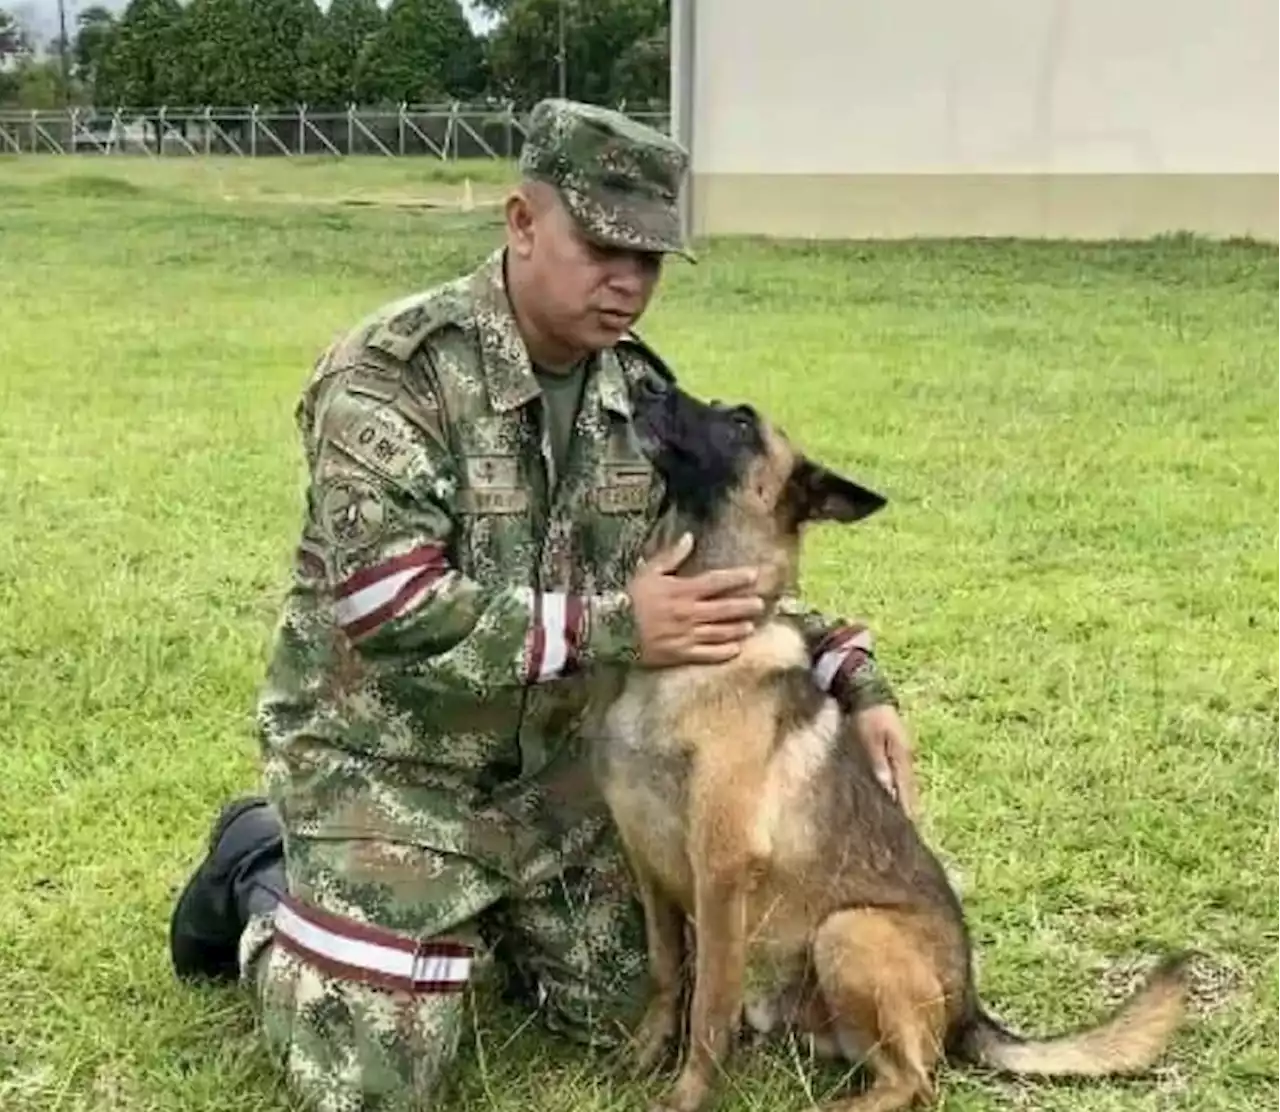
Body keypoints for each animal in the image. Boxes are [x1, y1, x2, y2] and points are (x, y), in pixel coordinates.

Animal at [586, 376, 1192, 1110]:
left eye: (740, 424)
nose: (645, 383)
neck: (691, 658)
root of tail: (969, 1006)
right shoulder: (650, 868)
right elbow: (667, 973)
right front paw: (643, 1055)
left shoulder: (721, 874)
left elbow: (709, 1008)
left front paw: (686, 1096)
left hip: (850, 929)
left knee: (916, 1081)